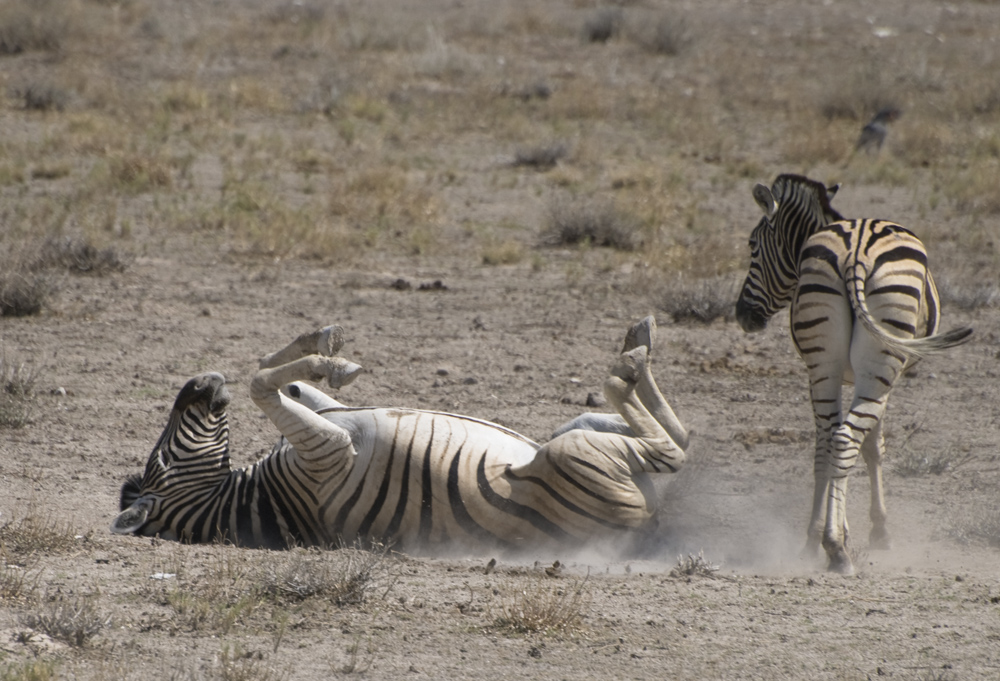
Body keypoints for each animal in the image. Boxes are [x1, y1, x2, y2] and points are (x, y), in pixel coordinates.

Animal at [109, 318, 688, 552]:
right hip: (576, 451)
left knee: (672, 439)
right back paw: (629, 361)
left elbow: (276, 374)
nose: (201, 381)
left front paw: (325, 349)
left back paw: (637, 344)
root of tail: (650, 529)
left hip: (576, 431)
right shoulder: (330, 449)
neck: (255, 496)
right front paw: (327, 358)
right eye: (163, 463)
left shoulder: (328, 421)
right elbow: (258, 382)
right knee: (672, 448)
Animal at [732, 175, 972, 572]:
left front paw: (831, 532)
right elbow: (873, 448)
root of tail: (856, 252)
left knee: (830, 441)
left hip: (824, 361)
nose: (742, 316)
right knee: (845, 439)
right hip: (881, 364)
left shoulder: (839, 373)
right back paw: (836, 549)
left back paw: (823, 540)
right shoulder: (882, 378)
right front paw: (878, 531)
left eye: (752, 246)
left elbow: (837, 450)